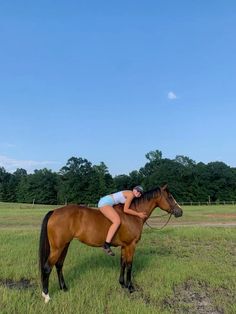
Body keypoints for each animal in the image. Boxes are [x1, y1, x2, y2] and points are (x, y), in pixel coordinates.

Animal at [38, 185, 183, 302]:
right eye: (170, 197)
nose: (180, 211)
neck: (132, 215)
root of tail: (54, 212)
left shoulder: (125, 246)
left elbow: (122, 263)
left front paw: (122, 284)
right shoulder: (131, 245)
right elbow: (129, 265)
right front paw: (130, 287)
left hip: (65, 245)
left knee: (59, 265)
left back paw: (64, 288)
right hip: (57, 248)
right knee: (47, 268)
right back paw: (46, 296)